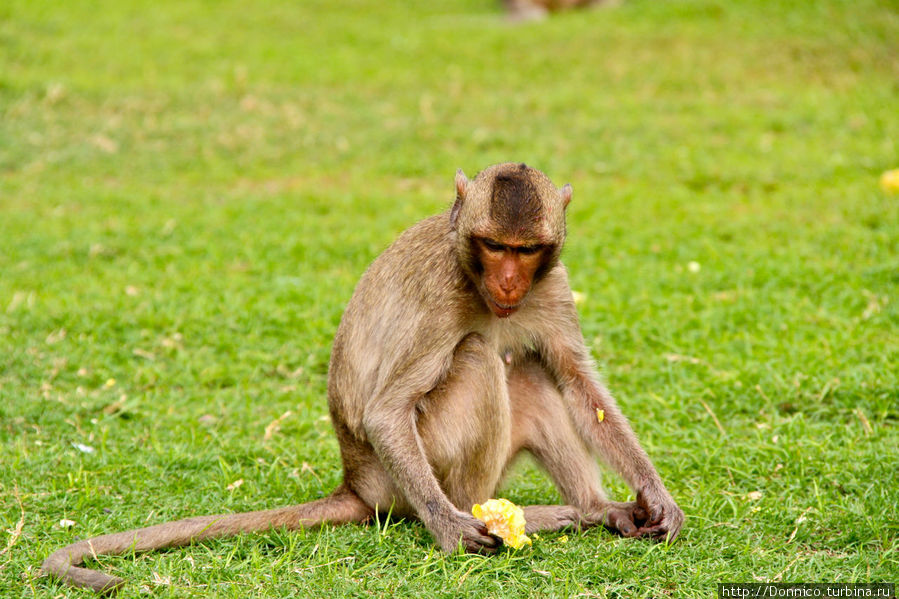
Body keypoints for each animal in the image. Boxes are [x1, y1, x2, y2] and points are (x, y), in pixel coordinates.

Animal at [42, 164, 684, 596]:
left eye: (525, 250)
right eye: (493, 245)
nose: (507, 283)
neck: (474, 276)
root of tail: (357, 482)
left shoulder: (552, 286)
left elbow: (578, 383)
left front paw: (655, 495)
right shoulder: (441, 298)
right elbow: (385, 410)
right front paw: (453, 531)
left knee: (526, 366)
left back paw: (597, 510)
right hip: (411, 473)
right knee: (478, 355)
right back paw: (491, 512)